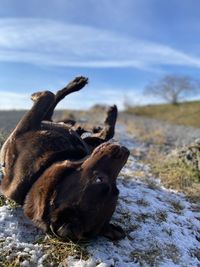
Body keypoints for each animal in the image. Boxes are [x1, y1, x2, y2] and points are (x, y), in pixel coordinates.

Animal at [0, 76, 130, 242]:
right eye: (116, 189)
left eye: (100, 179)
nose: (125, 151)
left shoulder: (22, 131)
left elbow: (47, 95)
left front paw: (37, 95)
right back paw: (79, 86)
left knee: (53, 101)